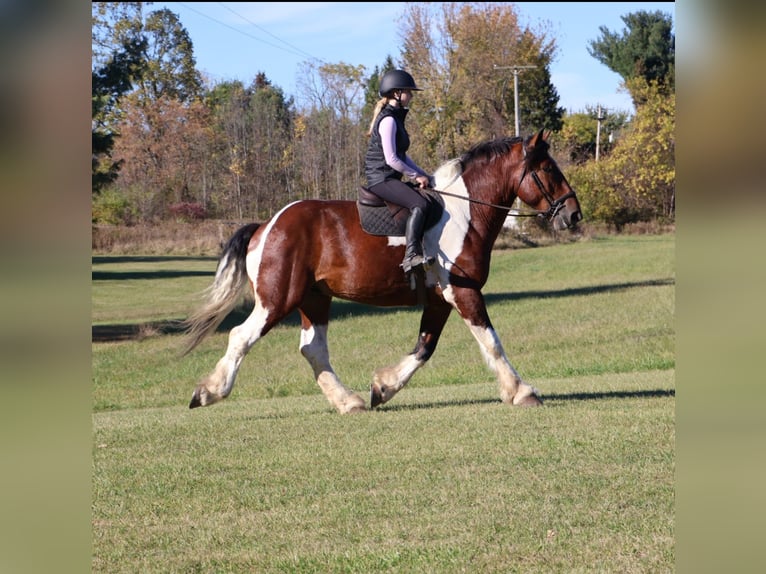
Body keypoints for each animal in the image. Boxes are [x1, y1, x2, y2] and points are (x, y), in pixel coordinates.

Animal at [183, 129, 581, 414]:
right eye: (548, 169)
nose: (573, 213)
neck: (465, 213)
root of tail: (267, 225)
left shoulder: (440, 299)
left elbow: (424, 347)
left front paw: (383, 387)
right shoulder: (463, 292)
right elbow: (491, 342)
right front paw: (522, 391)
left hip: (314, 299)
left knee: (313, 350)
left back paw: (349, 402)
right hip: (277, 299)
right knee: (241, 336)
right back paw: (208, 392)